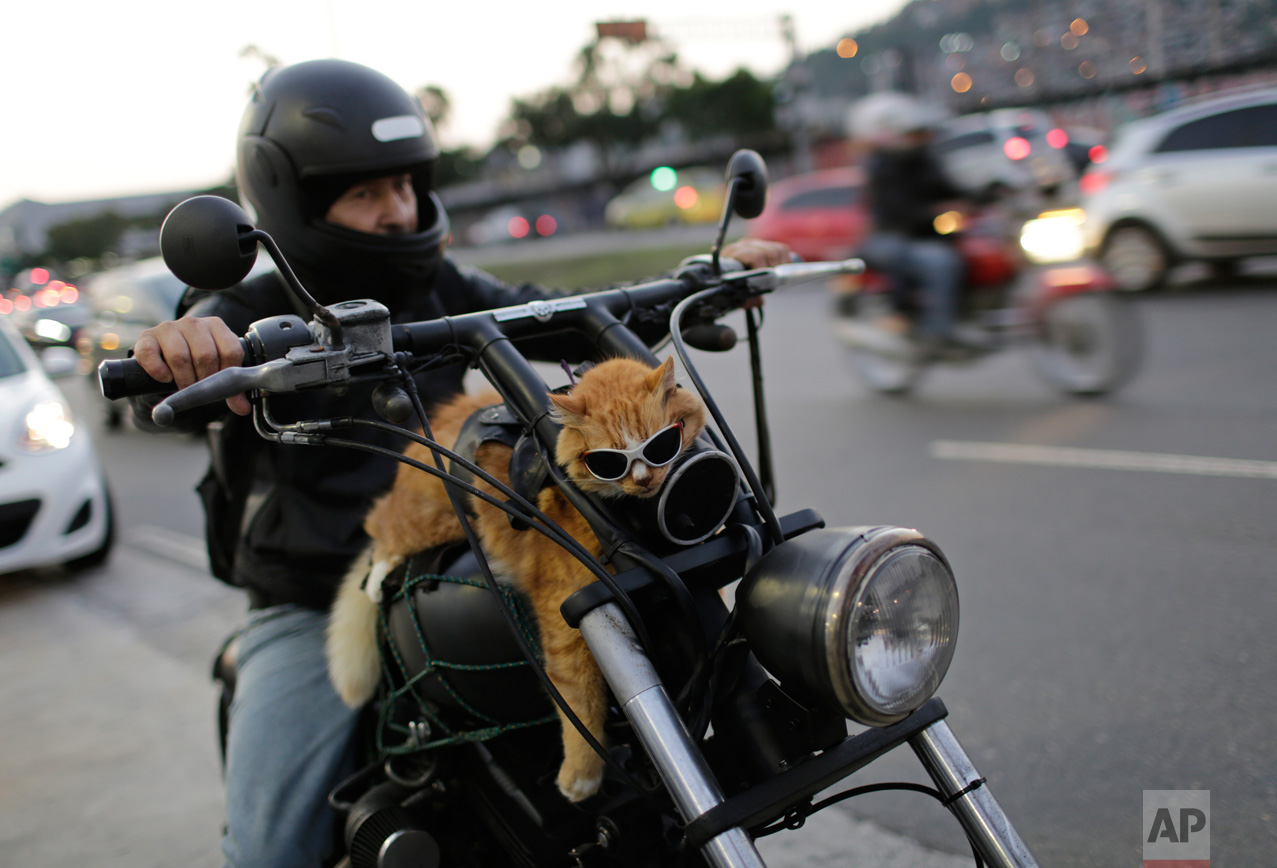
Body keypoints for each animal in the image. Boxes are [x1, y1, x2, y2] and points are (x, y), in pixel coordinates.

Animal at [326, 354, 710, 801]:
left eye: (661, 444)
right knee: (380, 530)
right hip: (433, 523)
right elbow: (580, 702)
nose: (645, 480)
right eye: (609, 461)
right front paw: (582, 774)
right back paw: (377, 578)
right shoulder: (567, 617)